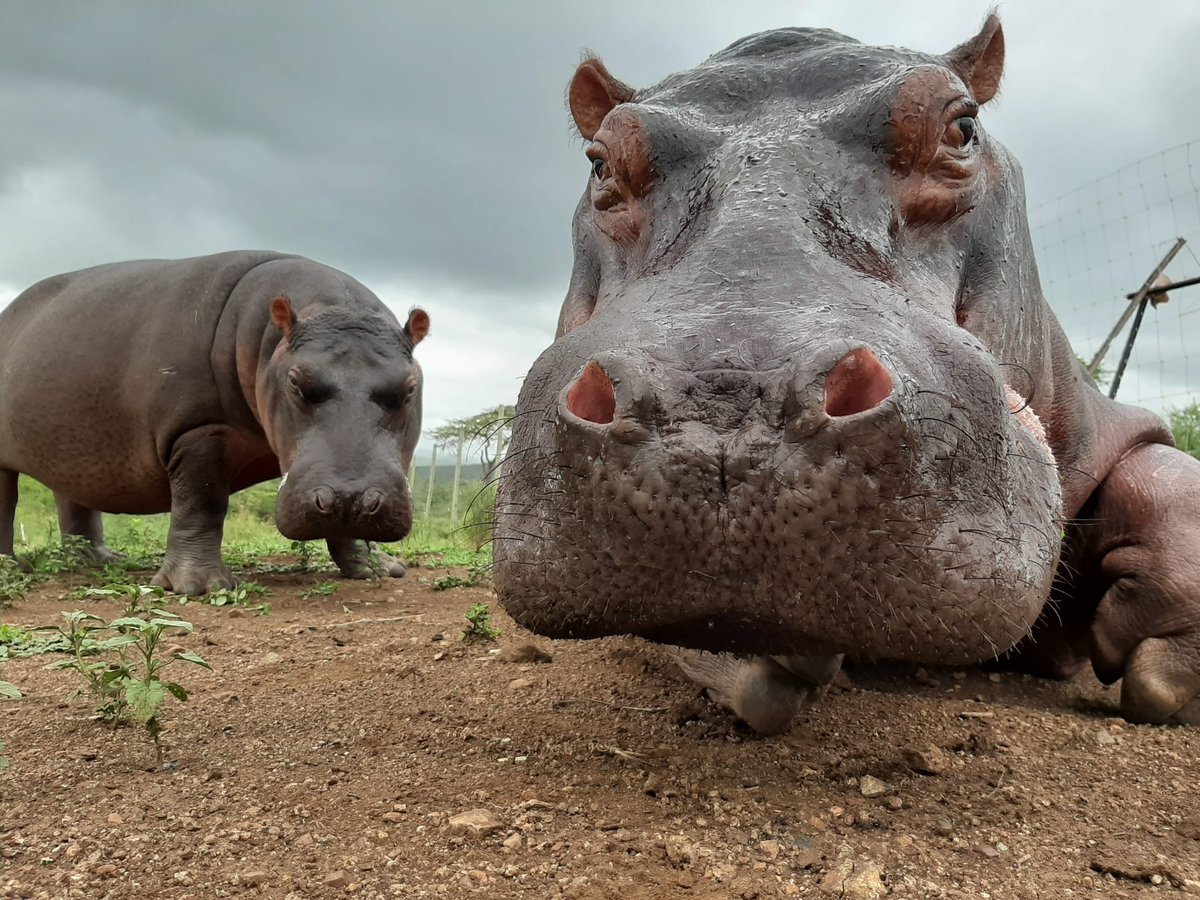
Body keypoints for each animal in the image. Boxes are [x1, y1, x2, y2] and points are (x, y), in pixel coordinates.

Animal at [0, 251, 429, 595]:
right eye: (295, 381)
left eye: (410, 387)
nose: (353, 498)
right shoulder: (198, 429)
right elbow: (201, 503)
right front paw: (199, 586)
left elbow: (345, 526)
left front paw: (380, 570)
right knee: (7, 500)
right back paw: (11, 568)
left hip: (74, 447)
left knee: (74, 499)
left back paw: (101, 561)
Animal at [493, 16, 1200, 731]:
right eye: (599, 161)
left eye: (963, 128)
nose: (722, 420)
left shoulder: (1105, 418)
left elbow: (1168, 475)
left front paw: (1163, 668)